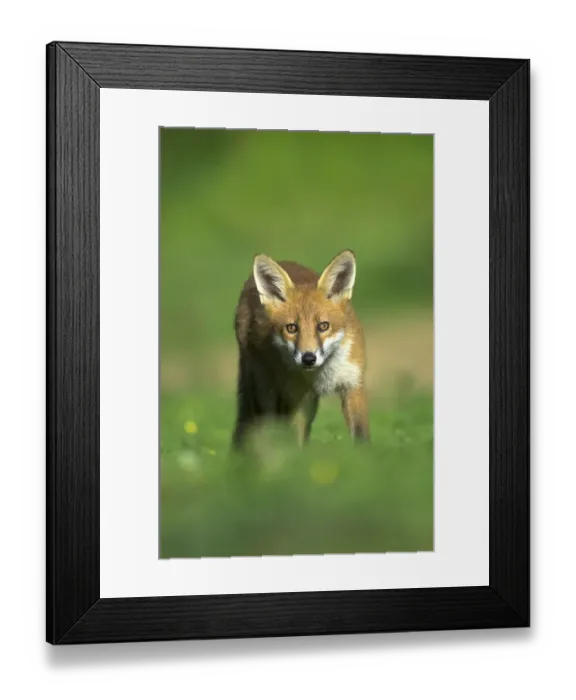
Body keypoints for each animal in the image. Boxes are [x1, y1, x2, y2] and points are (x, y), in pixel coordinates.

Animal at [232, 249, 370, 448]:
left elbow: (361, 436)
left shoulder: (353, 385)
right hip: (265, 393)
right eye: (291, 328)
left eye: (323, 326)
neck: (321, 375)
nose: (308, 358)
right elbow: (295, 440)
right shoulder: (295, 397)